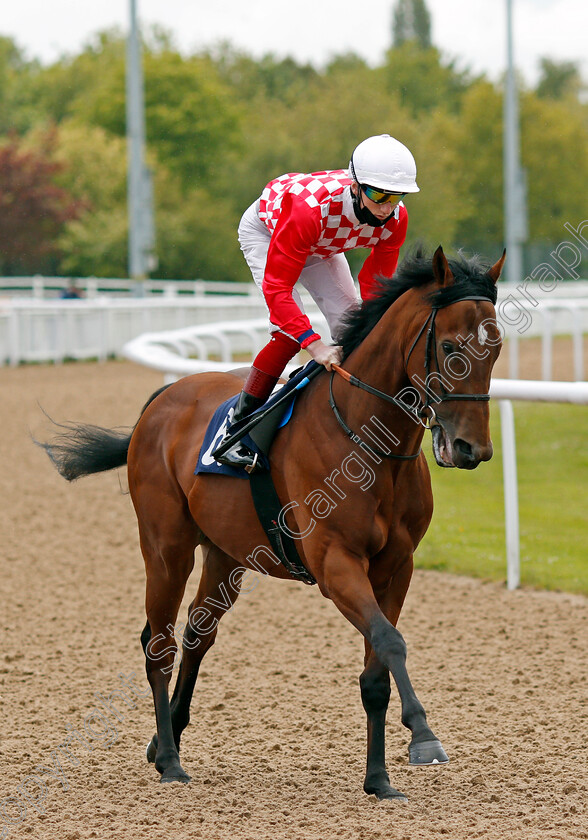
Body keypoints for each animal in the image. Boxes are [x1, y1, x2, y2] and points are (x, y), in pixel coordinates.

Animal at [39, 244, 506, 800]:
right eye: (452, 346)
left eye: (496, 349)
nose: (471, 449)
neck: (369, 440)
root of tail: (163, 398)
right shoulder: (334, 562)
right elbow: (391, 642)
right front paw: (424, 735)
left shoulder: (397, 566)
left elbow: (377, 667)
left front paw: (378, 779)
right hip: (165, 547)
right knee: (159, 642)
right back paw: (171, 760)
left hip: (226, 555)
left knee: (197, 634)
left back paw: (163, 739)